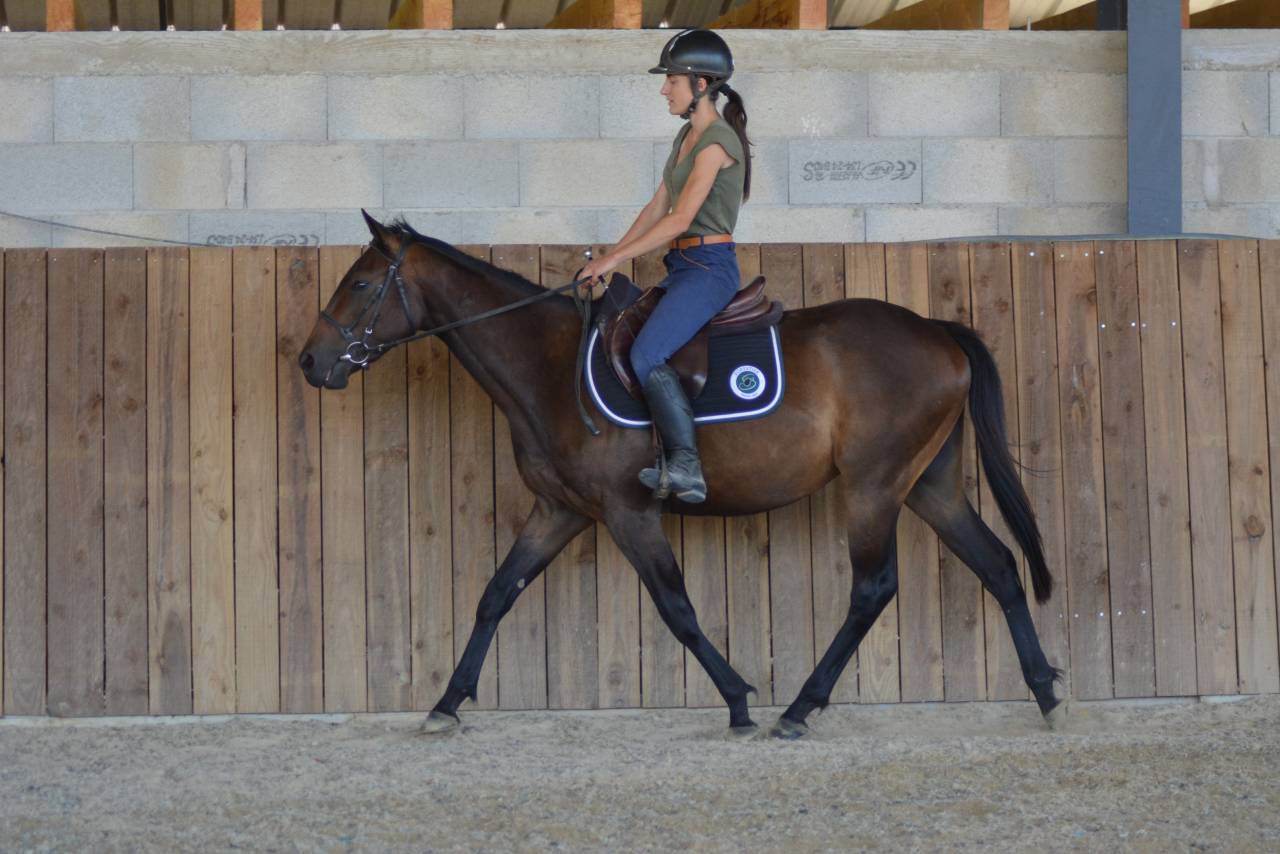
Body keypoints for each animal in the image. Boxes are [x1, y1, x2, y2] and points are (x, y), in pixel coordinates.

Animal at [299, 210, 1066, 738]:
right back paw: (1045, 693)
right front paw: (446, 703)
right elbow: (495, 596)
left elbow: (677, 608)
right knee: (998, 565)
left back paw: (798, 708)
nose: (310, 362)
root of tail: (939, 332)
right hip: (929, 485)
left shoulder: (628, 513)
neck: (548, 366)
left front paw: (737, 702)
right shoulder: (559, 510)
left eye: (360, 283)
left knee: (873, 589)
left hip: (874, 487)